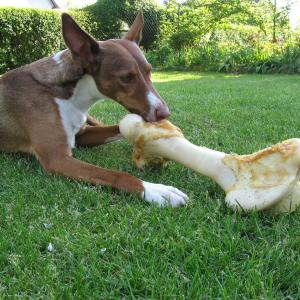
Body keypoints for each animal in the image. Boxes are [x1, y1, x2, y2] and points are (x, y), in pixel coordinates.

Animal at [0, 12, 188, 207]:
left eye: (149, 71)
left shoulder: (81, 135)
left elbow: (118, 128)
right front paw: (155, 190)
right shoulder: (57, 158)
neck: (70, 95)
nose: (164, 113)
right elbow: (115, 175)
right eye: (126, 77)